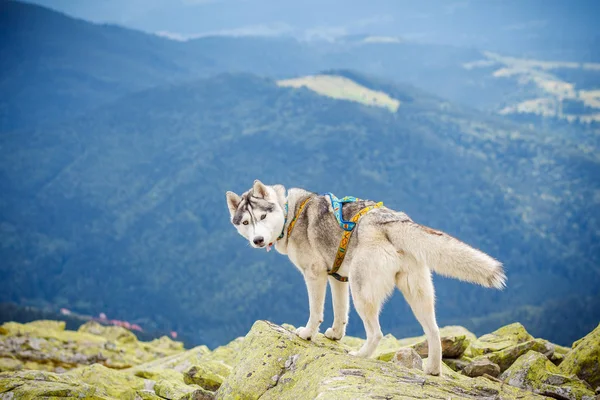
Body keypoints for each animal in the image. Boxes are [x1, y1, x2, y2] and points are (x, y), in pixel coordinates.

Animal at [227, 180, 504, 376]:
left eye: (262, 217)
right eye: (245, 222)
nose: (258, 240)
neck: (290, 214)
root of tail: (390, 221)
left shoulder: (315, 275)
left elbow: (316, 312)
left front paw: (307, 333)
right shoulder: (337, 278)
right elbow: (340, 312)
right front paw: (335, 334)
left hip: (362, 291)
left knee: (377, 333)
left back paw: (360, 356)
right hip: (417, 294)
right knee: (434, 331)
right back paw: (433, 369)